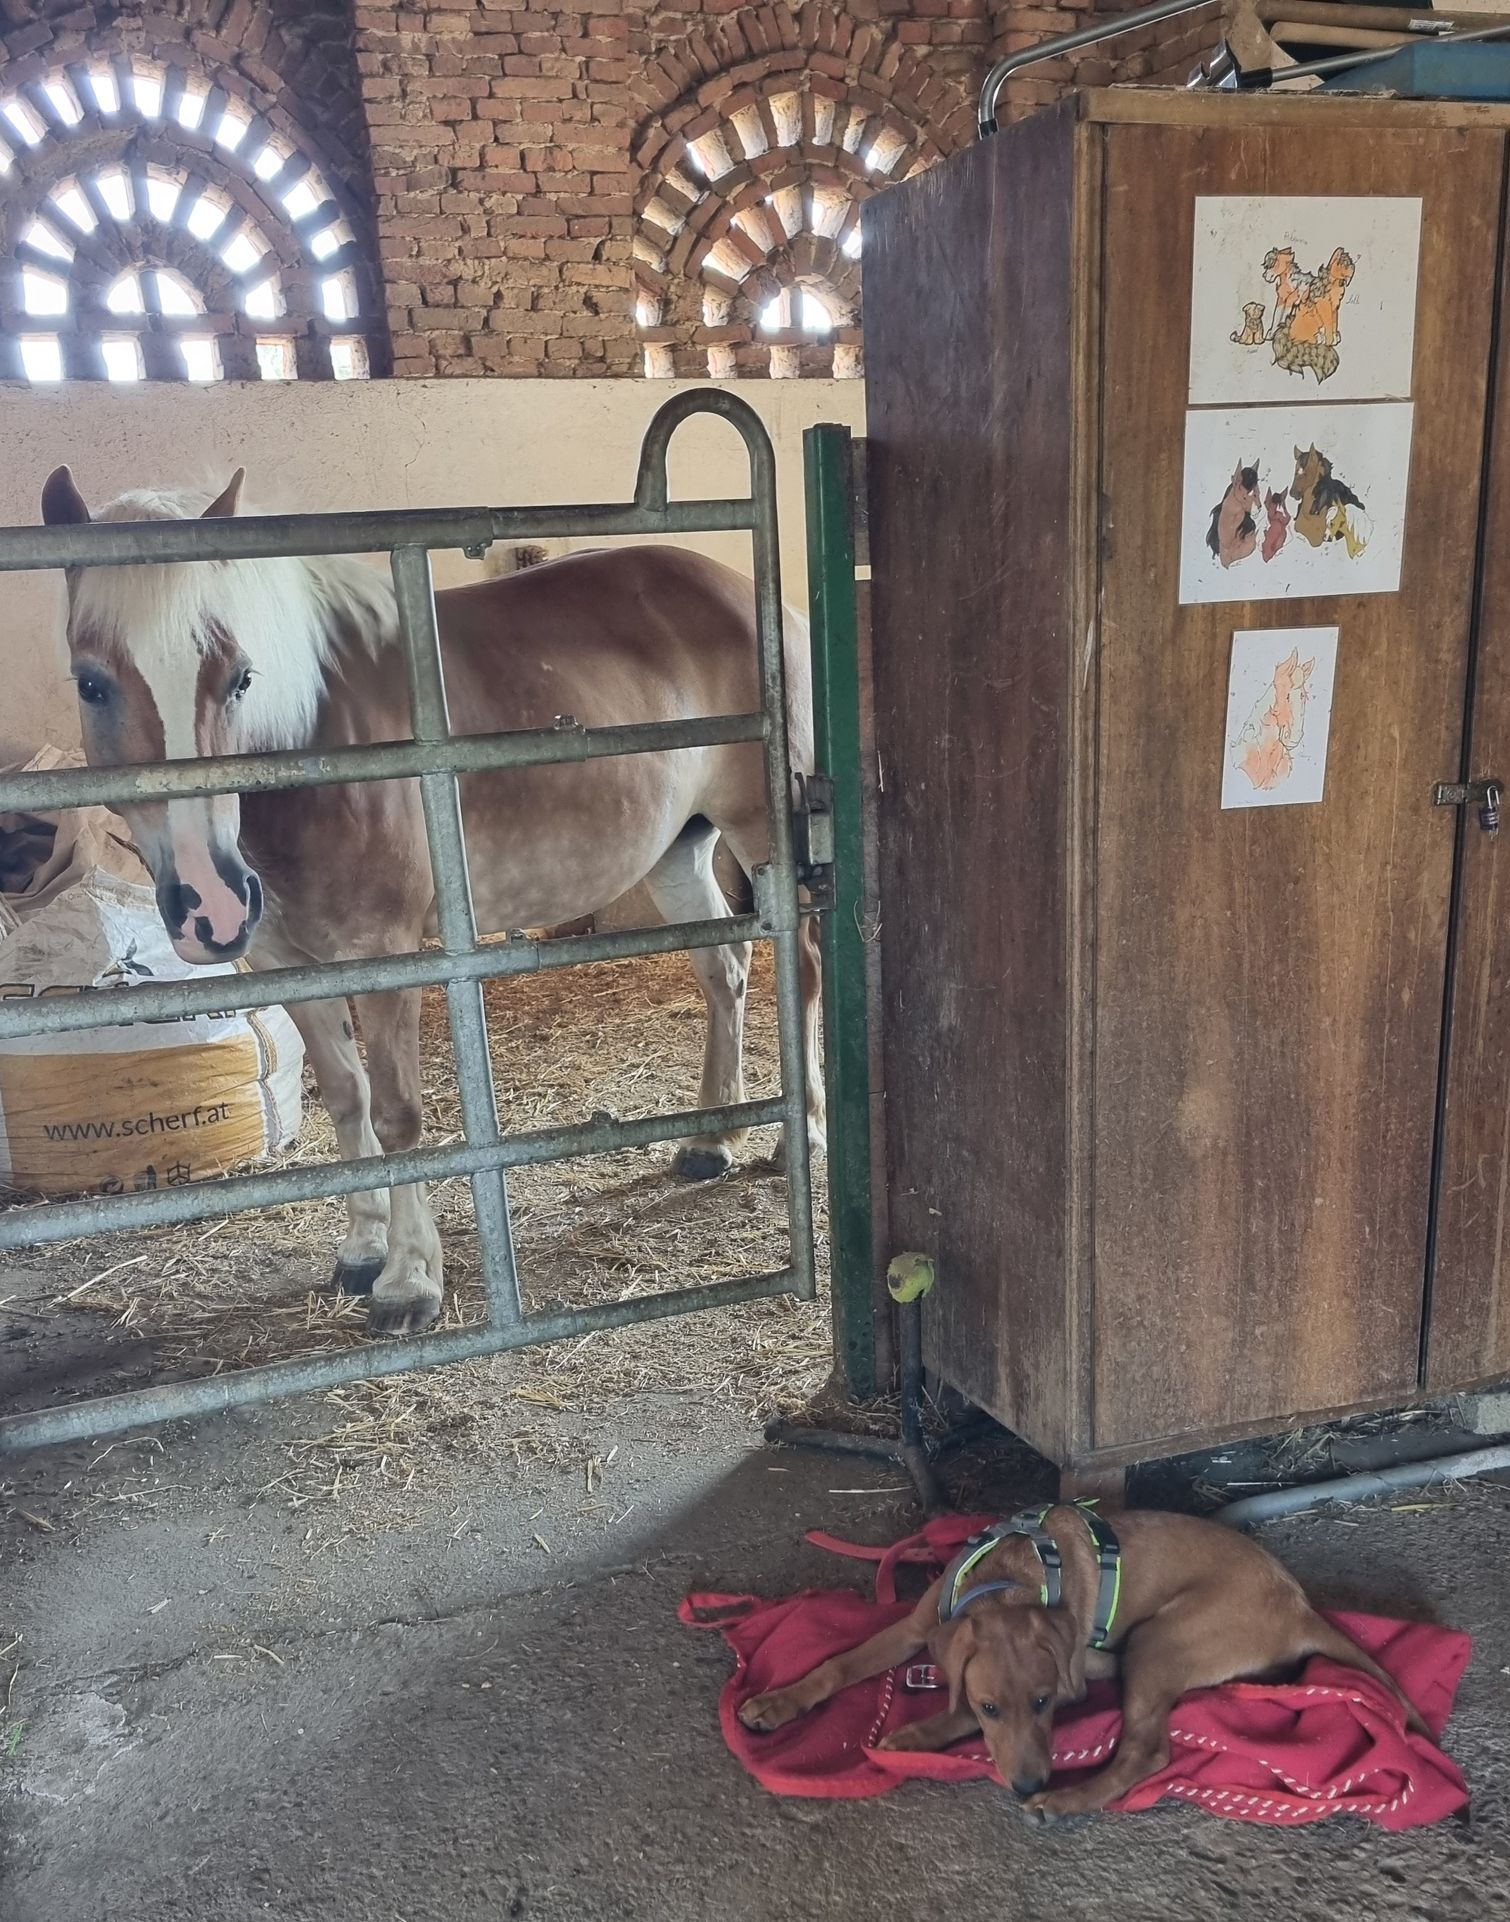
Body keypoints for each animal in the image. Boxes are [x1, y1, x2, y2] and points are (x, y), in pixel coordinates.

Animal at [39, 465, 826, 1337]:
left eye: (242, 676)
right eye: (91, 683)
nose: (212, 903)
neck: (317, 747)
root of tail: (746, 592)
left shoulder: (385, 957)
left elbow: (398, 1113)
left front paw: (409, 1280)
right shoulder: (286, 960)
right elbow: (345, 1097)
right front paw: (361, 1248)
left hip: (763, 832)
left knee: (803, 965)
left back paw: (802, 1130)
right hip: (677, 850)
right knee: (725, 969)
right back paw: (712, 1140)